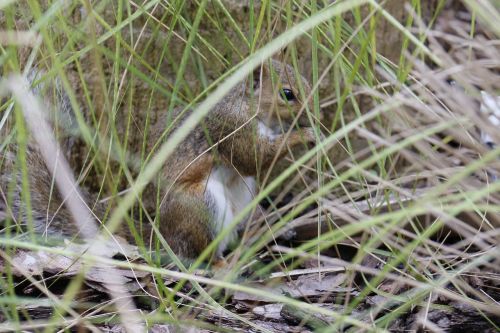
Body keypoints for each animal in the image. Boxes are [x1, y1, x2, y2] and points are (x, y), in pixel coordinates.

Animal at [0, 59, 316, 262]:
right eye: (287, 93)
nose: (315, 114)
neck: (247, 105)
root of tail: (161, 234)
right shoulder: (230, 129)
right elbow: (255, 157)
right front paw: (305, 136)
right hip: (200, 205)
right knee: (198, 253)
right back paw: (222, 264)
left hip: (243, 196)